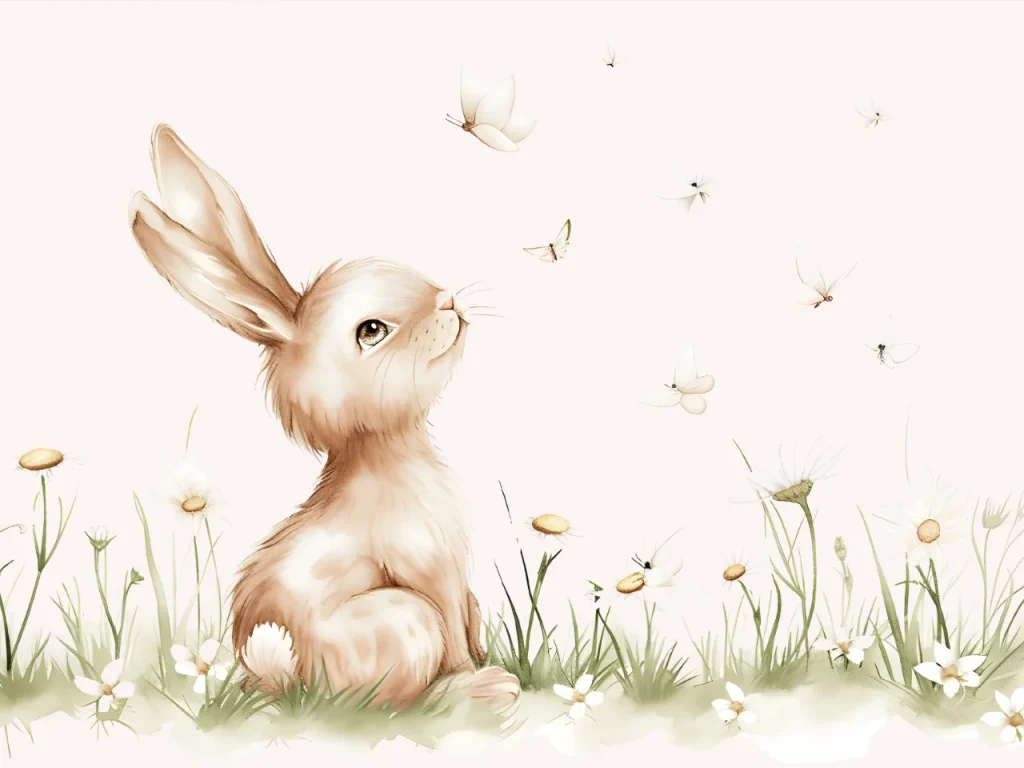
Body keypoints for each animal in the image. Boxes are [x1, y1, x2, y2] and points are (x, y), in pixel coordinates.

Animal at [129, 124, 520, 713]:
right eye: (372, 331)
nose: (448, 300)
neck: (387, 455)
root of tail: (280, 672)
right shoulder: (426, 569)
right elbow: (454, 634)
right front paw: (479, 674)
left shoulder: (456, 580)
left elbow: (469, 617)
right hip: (405, 618)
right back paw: (483, 690)